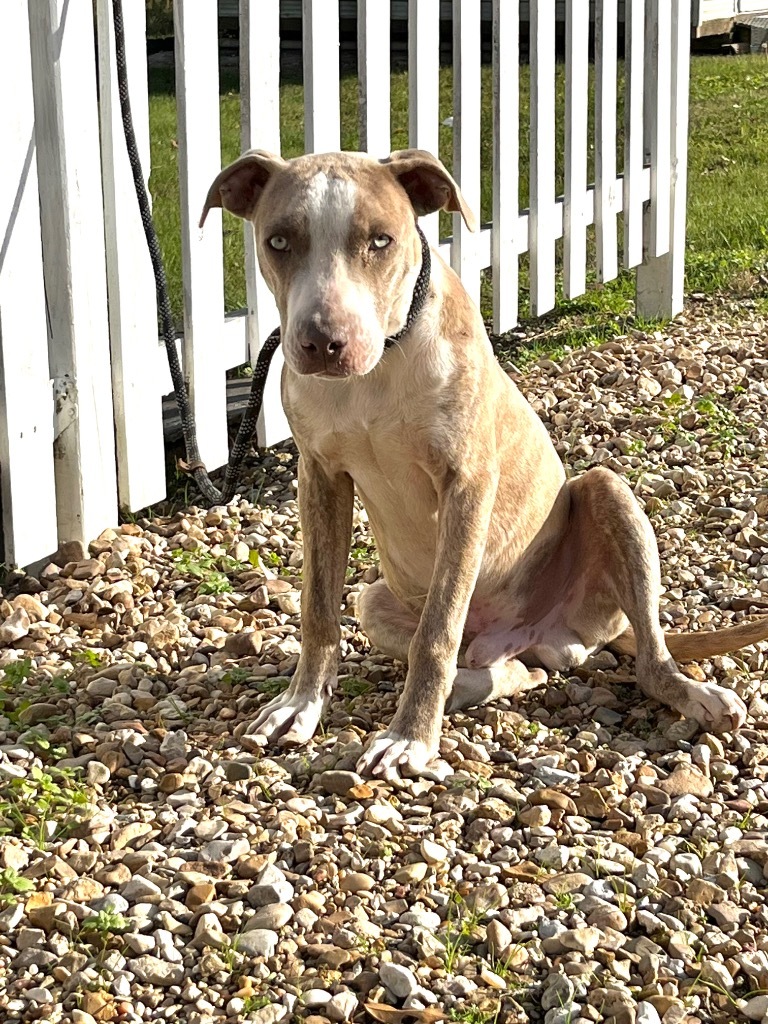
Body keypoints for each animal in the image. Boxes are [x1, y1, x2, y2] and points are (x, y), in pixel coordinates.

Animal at [201, 149, 765, 774]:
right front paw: (300, 706)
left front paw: (410, 737)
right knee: (511, 670)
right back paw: (469, 684)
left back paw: (696, 694)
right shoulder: (320, 477)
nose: (323, 341)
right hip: (376, 597)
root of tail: (541, 634)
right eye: (278, 241)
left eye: (380, 240)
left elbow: (438, 628)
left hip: (607, 492)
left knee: (645, 660)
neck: (381, 368)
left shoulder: (467, 484)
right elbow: (319, 610)